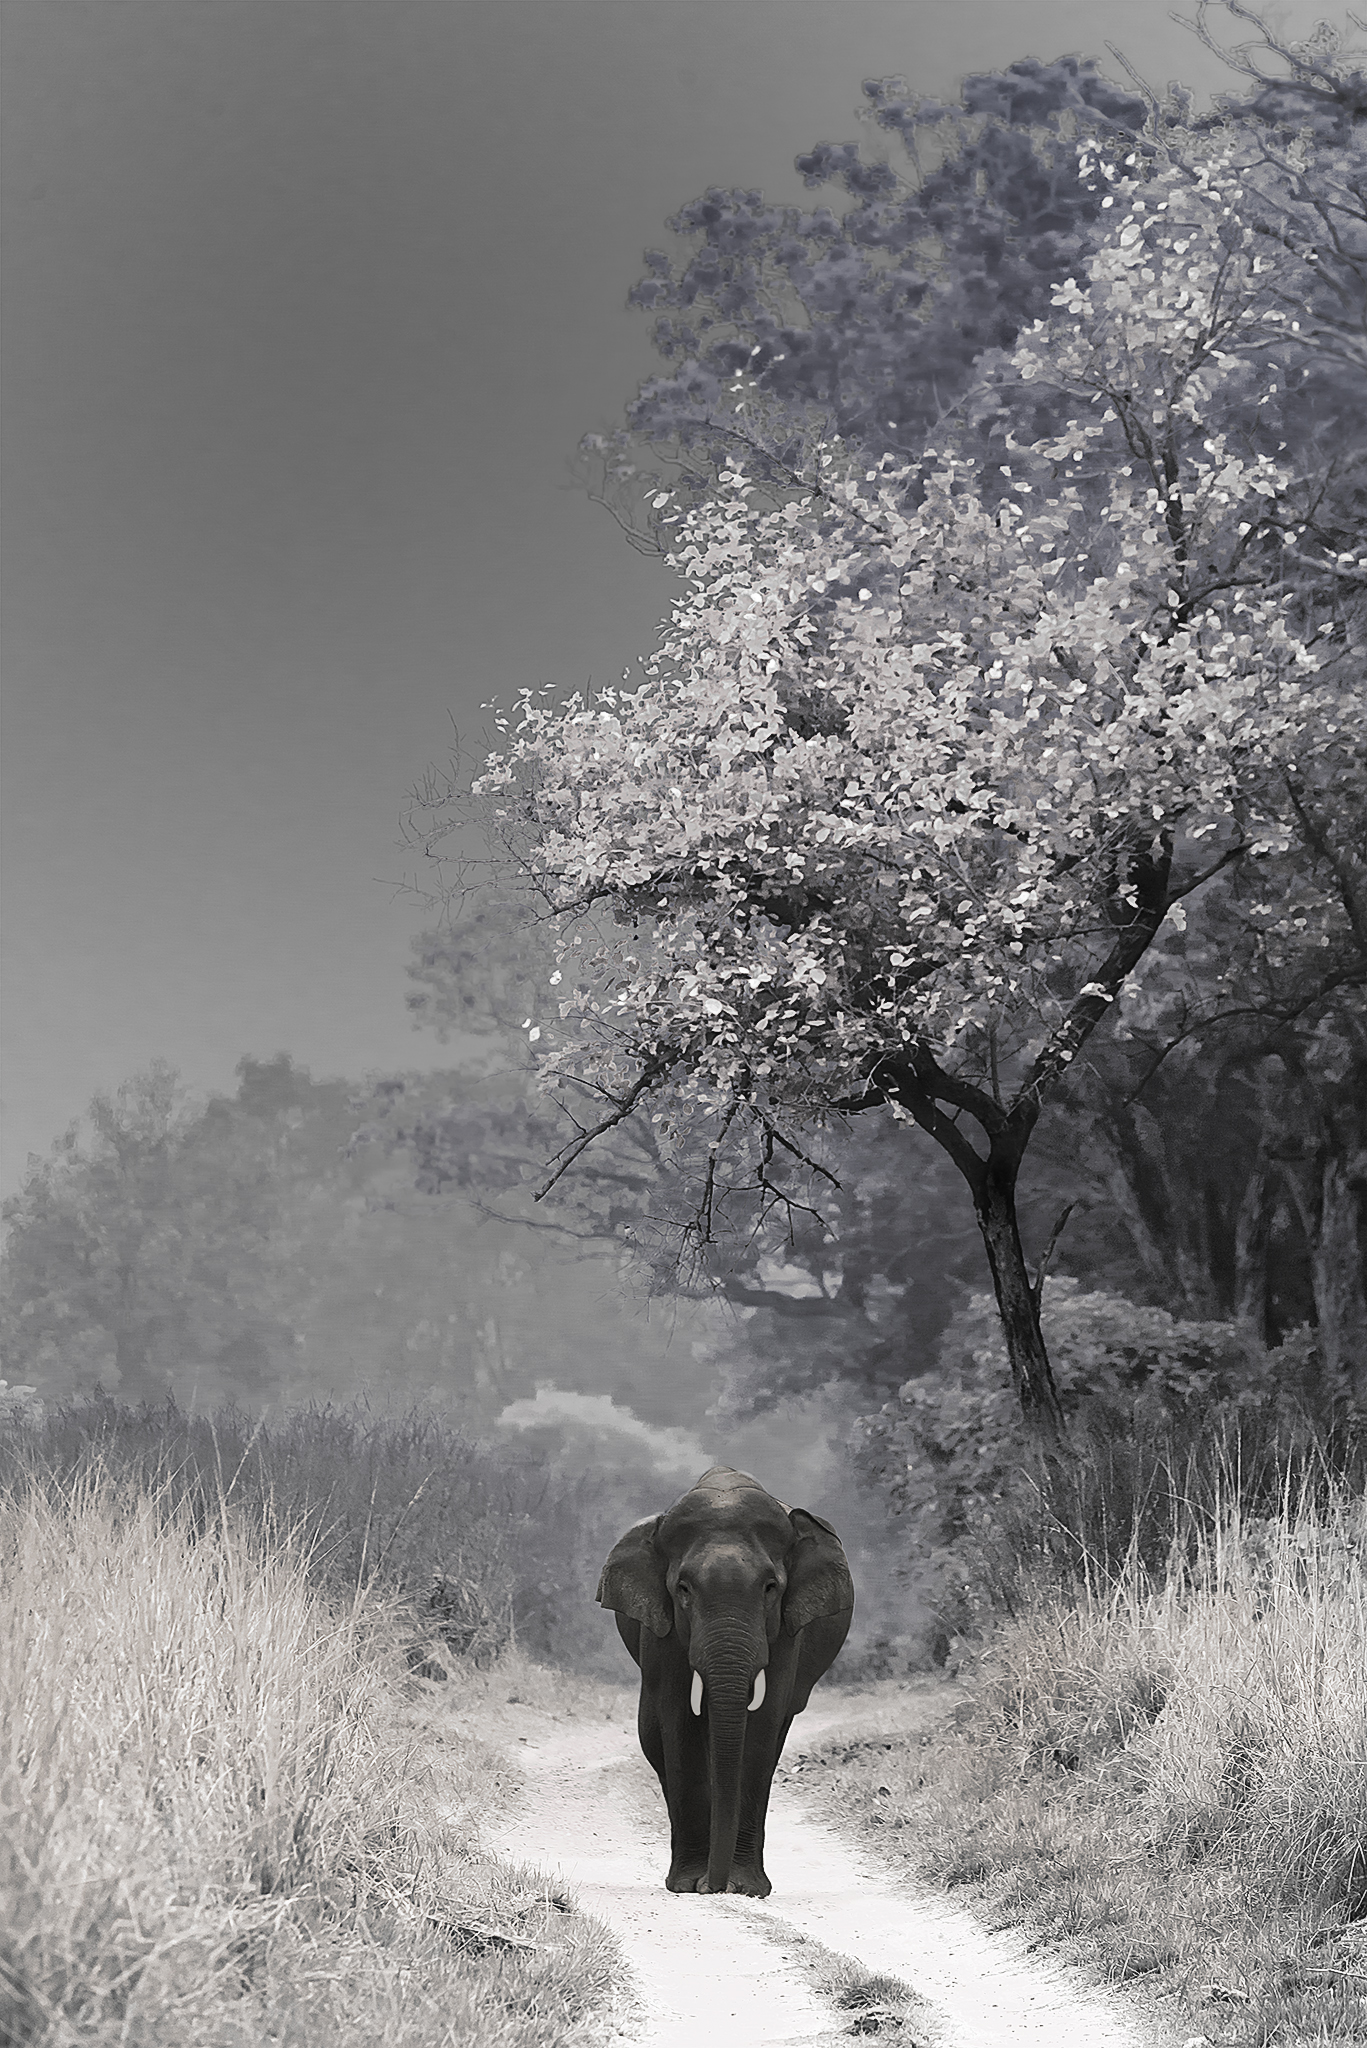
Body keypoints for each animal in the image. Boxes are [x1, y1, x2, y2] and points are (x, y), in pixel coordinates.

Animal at [598, 1466, 856, 1892]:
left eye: (771, 1587)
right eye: (683, 1589)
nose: (713, 1886)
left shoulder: (786, 1632)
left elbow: (763, 1724)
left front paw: (747, 1889)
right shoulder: (661, 1630)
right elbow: (678, 1720)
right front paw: (687, 1885)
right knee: (653, 1737)